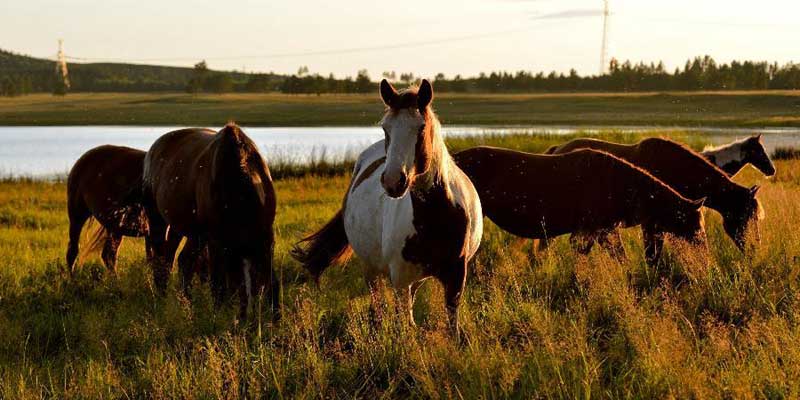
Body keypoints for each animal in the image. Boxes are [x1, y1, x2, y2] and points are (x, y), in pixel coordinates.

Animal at [142, 123, 280, 320]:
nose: (246, 317)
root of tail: (152, 150)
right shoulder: (218, 242)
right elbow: (218, 286)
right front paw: (218, 318)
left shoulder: (265, 238)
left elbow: (271, 283)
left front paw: (275, 321)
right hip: (158, 220)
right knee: (162, 261)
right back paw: (163, 302)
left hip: (187, 230)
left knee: (181, 260)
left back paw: (187, 304)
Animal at [292, 79, 482, 336]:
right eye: (385, 128)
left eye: (421, 127)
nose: (393, 181)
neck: (436, 218)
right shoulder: (400, 279)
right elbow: (406, 325)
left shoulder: (455, 277)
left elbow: (453, 328)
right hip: (372, 270)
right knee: (378, 306)